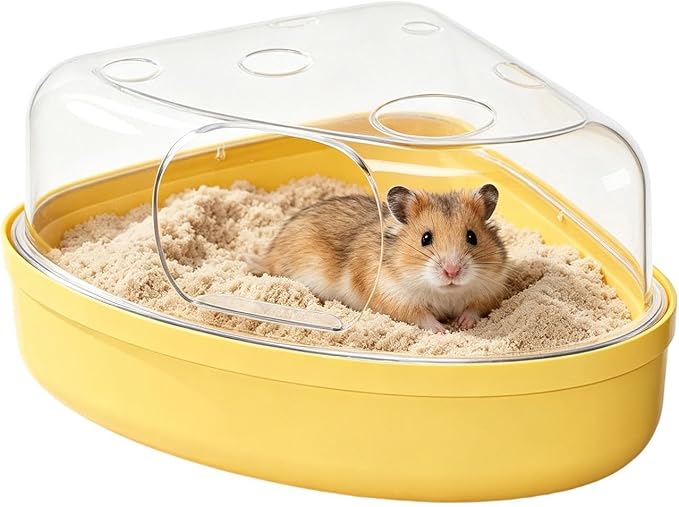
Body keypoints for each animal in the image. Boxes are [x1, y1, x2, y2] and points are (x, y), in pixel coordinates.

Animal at [246, 184, 509, 332]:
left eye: (472, 236)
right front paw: (442, 329)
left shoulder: (491, 289)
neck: (445, 292)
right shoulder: (394, 297)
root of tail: (270, 253)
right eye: (425, 238)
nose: (452, 272)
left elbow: (474, 308)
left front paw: (462, 323)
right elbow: (421, 316)